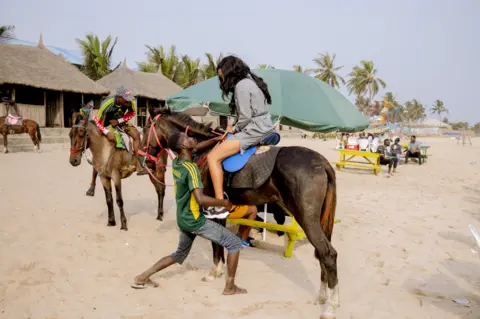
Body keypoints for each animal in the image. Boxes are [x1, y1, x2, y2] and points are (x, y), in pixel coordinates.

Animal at [141, 111, 340, 318]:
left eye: (146, 129)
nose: (145, 160)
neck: (203, 150)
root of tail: (321, 162)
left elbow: (215, 245)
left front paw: (214, 272)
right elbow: (218, 243)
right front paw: (220, 269)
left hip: (307, 219)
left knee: (328, 254)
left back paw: (331, 307)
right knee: (322, 254)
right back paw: (323, 297)